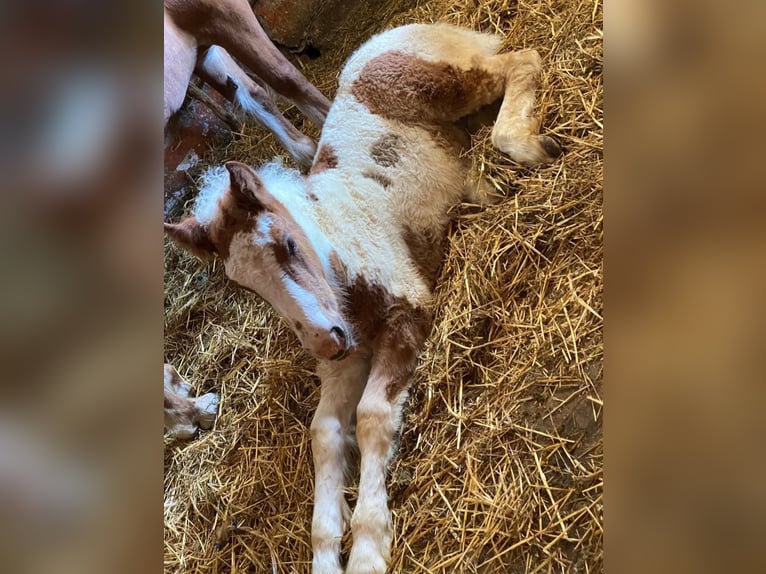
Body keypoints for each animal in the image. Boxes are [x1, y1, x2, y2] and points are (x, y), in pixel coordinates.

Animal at [165, 22, 561, 573]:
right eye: (243, 286)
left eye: (287, 244)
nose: (324, 342)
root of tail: (401, 32)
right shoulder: (343, 363)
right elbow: (324, 432)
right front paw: (327, 554)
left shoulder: (407, 311)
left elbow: (372, 414)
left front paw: (369, 545)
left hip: (448, 83)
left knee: (521, 60)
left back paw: (525, 146)